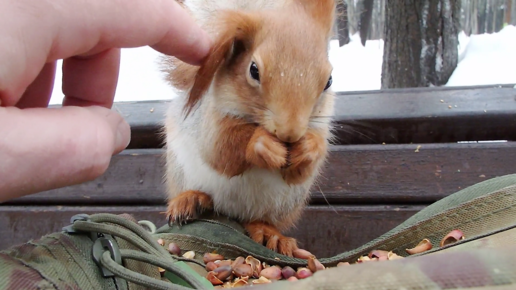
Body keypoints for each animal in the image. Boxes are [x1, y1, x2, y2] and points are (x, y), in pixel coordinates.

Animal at [163, 0, 336, 256]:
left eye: (329, 81)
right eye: (253, 70)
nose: (290, 133)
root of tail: (230, 212)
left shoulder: (321, 124)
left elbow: (300, 170)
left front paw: (308, 148)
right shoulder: (210, 120)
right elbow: (219, 149)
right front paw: (261, 144)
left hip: (286, 202)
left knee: (259, 219)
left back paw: (270, 233)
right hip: (179, 169)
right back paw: (190, 198)